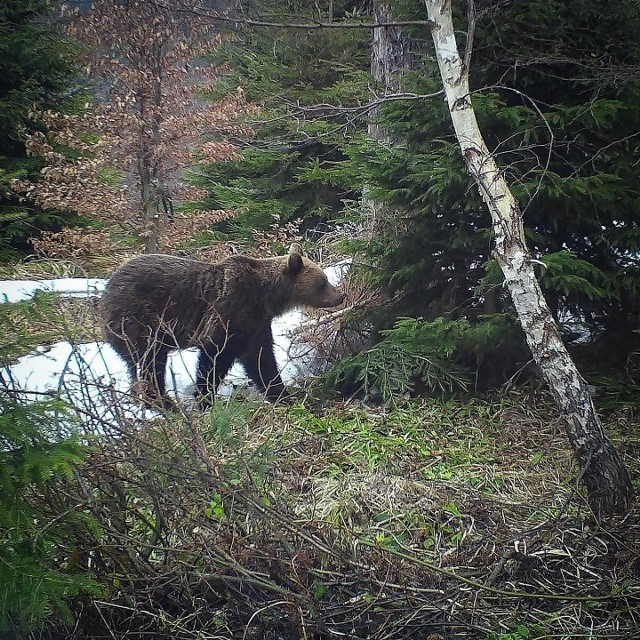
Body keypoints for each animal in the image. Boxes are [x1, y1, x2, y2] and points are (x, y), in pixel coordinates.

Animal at [100, 245, 344, 404]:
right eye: (323, 281)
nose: (340, 296)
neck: (267, 297)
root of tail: (106, 292)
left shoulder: (256, 325)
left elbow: (261, 361)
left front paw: (282, 394)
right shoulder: (230, 312)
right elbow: (215, 358)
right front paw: (205, 397)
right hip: (140, 321)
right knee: (151, 361)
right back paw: (166, 402)